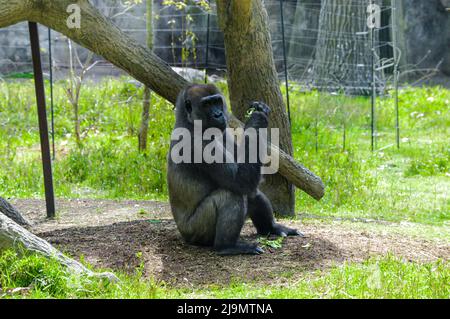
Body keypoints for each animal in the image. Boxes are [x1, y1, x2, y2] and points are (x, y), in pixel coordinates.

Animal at [167, 84, 300, 256]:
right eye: (206, 104)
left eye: (217, 102)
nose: (218, 114)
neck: (188, 121)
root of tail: (184, 235)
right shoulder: (198, 144)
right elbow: (240, 181)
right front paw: (257, 120)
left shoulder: (224, 131)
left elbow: (248, 169)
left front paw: (259, 110)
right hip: (195, 233)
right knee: (231, 194)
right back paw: (227, 246)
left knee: (251, 192)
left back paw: (271, 228)